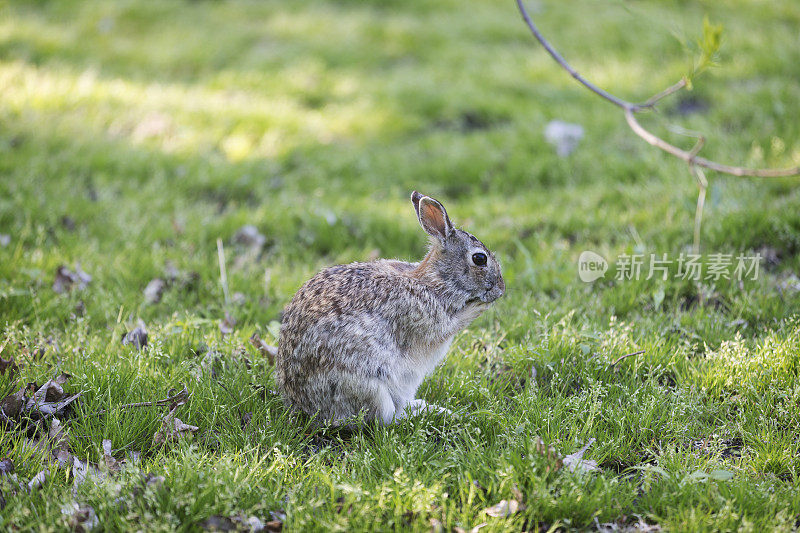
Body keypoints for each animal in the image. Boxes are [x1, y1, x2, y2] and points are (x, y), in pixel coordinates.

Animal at [272, 189, 504, 426]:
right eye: (479, 258)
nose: (501, 289)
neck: (435, 281)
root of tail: (304, 406)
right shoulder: (423, 318)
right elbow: (453, 323)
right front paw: (479, 306)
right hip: (370, 386)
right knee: (385, 419)